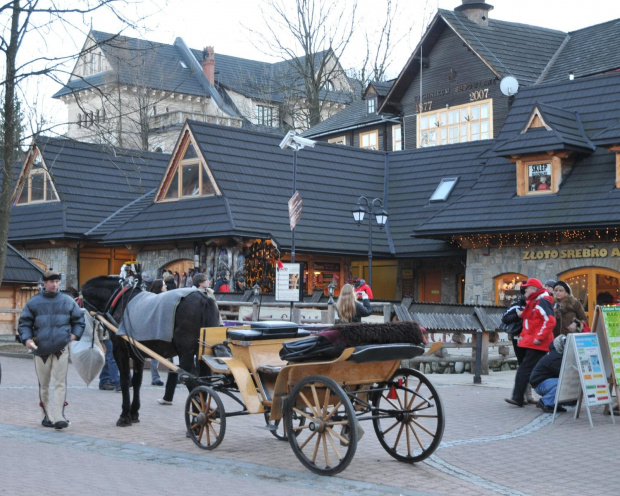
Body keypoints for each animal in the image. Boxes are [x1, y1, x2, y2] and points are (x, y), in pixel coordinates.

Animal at [80, 276, 220, 426]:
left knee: (194, 383)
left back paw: (197, 418)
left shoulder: (120, 351)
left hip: (186, 355)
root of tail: (204, 299)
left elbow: (125, 380)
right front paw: (134, 413)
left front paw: (124, 415)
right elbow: (136, 381)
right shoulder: (138, 354)